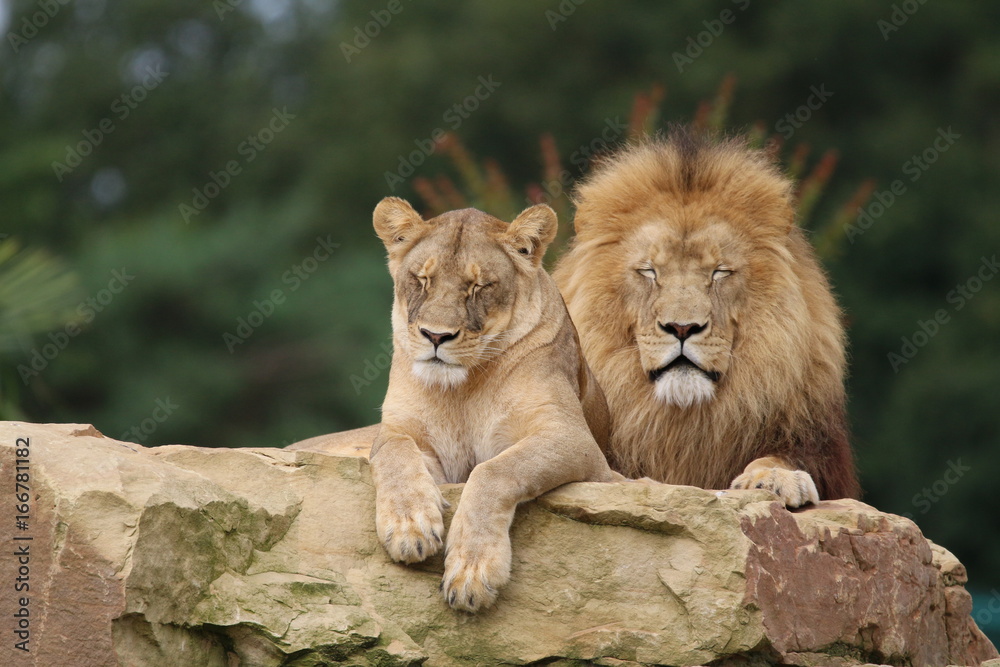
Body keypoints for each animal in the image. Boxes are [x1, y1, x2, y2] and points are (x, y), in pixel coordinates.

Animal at [340, 197, 617, 613]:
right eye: (422, 280)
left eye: (479, 286)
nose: (436, 336)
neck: (462, 390)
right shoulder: (401, 430)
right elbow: (393, 452)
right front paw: (410, 527)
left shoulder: (575, 440)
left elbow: (493, 471)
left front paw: (473, 571)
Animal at [552, 130, 860, 506]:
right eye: (649, 271)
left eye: (720, 272)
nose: (682, 328)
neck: (683, 422)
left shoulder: (821, 449)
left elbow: (784, 457)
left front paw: (774, 477)